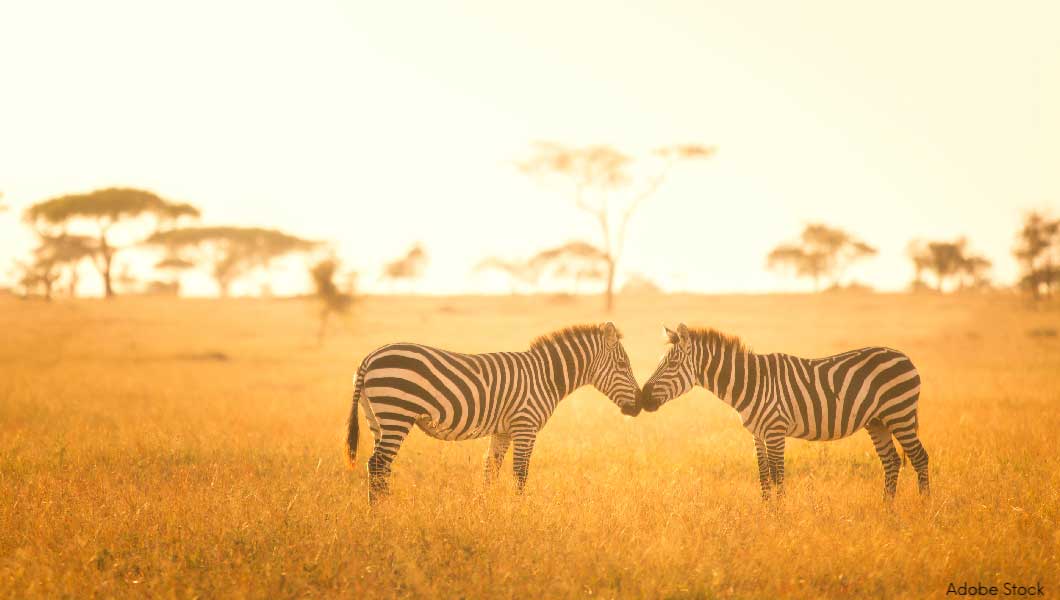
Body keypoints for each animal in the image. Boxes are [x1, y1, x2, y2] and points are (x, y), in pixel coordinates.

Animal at [345, 324, 635, 502]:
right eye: (623, 365)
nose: (638, 405)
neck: (545, 377)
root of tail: (369, 358)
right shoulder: (525, 425)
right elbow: (520, 472)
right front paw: (520, 513)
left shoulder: (503, 431)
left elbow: (490, 470)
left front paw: (487, 509)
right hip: (397, 412)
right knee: (378, 463)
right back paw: (381, 513)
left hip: (378, 419)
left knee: (379, 467)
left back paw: (383, 508)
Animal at [635, 326, 928, 500]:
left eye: (672, 364)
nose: (643, 398)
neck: (753, 383)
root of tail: (906, 357)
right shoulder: (757, 433)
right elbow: (764, 476)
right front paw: (767, 515)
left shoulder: (776, 430)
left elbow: (778, 475)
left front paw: (780, 517)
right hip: (878, 421)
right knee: (891, 462)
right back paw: (887, 510)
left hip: (899, 414)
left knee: (919, 458)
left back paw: (924, 509)